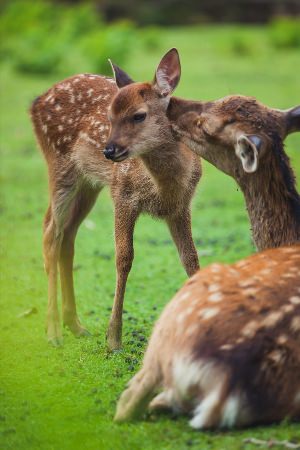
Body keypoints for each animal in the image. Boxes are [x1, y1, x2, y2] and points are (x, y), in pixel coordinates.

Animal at [30, 49, 200, 348]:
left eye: (139, 115)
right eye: (109, 117)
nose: (108, 150)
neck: (165, 186)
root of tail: (36, 103)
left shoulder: (180, 206)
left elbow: (190, 258)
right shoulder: (122, 193)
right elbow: (124, 257)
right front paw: (113, 339)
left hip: (88, 183)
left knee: (67, 235)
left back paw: (75, 325)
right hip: (60, 166)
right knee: (51, 232)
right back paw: (53, 331)